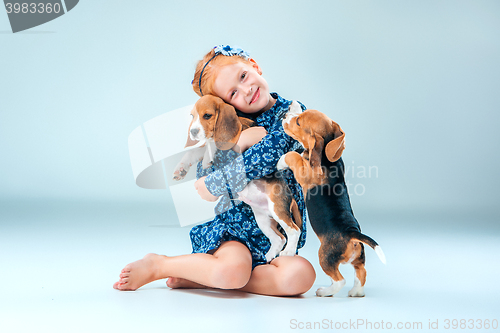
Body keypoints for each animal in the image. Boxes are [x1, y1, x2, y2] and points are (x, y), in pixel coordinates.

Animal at [174, 95, 302, 262]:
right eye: (192, 116)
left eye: (207, 115)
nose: (193, 132)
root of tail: (290, 196)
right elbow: (195, 151)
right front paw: (181, 169)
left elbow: (213, 144)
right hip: (262, 219)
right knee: (279, 239)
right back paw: (266, 258)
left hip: (277, 209)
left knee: (294, 230)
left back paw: (288, 252)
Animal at [276, 101, 384, 296]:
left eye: (298, 122)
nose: (285, 116)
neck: (326, 159)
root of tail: (352, 233)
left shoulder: (304, 174)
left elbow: (293, 156)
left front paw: (281, 160)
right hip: (359, 258)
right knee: (361, 272)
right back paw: (356, 292)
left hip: (324, 256)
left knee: (340, 279)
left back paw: (325, 291)